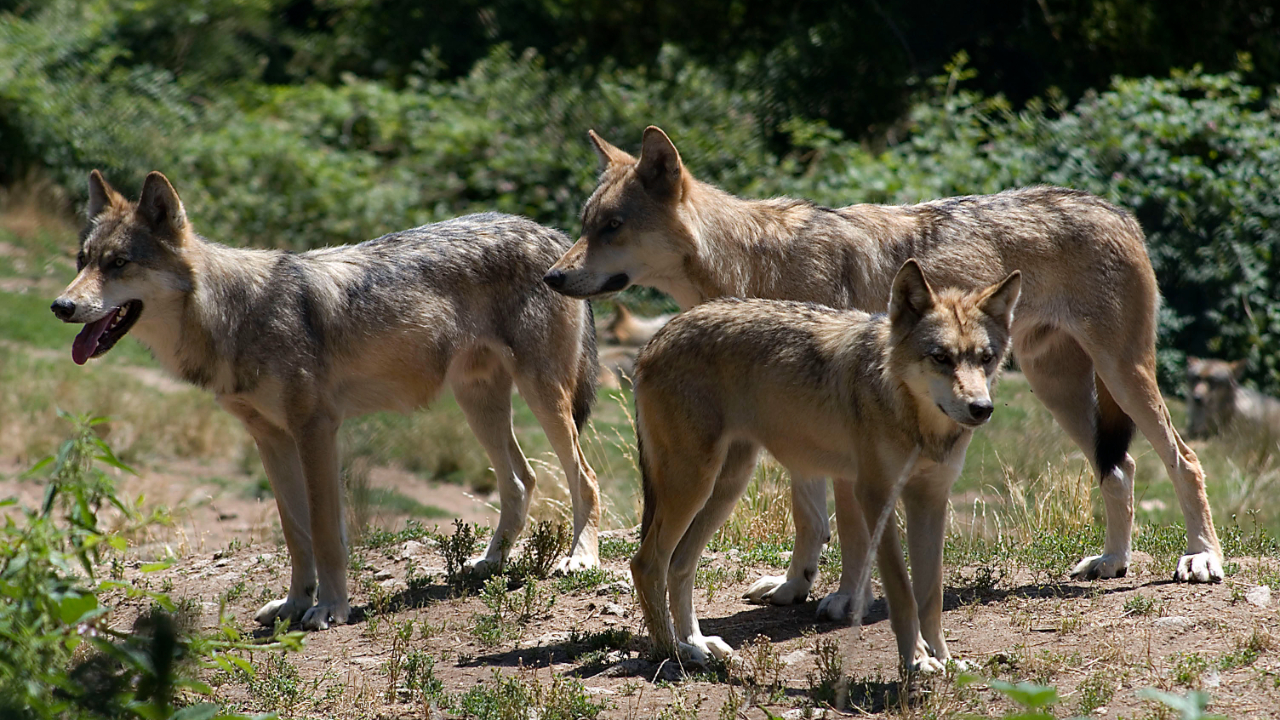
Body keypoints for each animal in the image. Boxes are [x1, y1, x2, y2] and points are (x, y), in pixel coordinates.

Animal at [53, 171, 601, 630]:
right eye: (82, 261)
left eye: (118, 264)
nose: (60, 306)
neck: (234, 316)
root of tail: (553, 234)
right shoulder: (270, 439)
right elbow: (295, 534)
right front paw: (295, 603)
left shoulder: (316, 429)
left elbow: (324, 531)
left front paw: (330, 608)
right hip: (478, 404)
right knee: (522, 480)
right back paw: (489, 563)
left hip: (542, 398)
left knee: (584, 478)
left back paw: (580, 558)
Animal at [545, 126, 1223, 620]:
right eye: (585, 225)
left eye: (611, 227)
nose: (551, 277)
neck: (752, 268)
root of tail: (1117, 208)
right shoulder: (800, 418)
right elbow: (808, 518)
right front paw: (793, 588)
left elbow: (848, 529)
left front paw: (847, 599)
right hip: (1057, 387)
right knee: (1122, 466)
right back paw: (1112, 560)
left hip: (1122, 375)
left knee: (1184, 460)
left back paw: (1201, 559)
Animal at [631, 260, 1020, 670]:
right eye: (941, 357)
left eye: (986, 358)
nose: (982, 408)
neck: (915, 419)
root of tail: (656, 338)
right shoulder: (875, 496)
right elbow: (902, 592)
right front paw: (917, 660)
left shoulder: (930, 500)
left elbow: (931, 595)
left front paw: (944, 660)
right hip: (693, 486)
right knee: (647, 564)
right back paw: (673, 650)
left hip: (724, 488)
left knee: (680, 565)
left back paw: (698, 643)